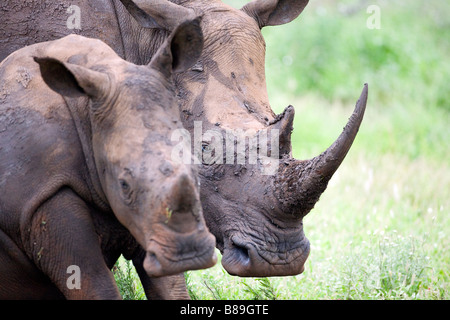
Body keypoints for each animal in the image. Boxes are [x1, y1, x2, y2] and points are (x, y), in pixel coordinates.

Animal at [0, 19, 216, 300]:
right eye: (124, 184)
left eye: (197, 175)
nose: (190, 256)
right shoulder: (38, 195)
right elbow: (93, 282)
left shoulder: (145, 218)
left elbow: (171, 288)